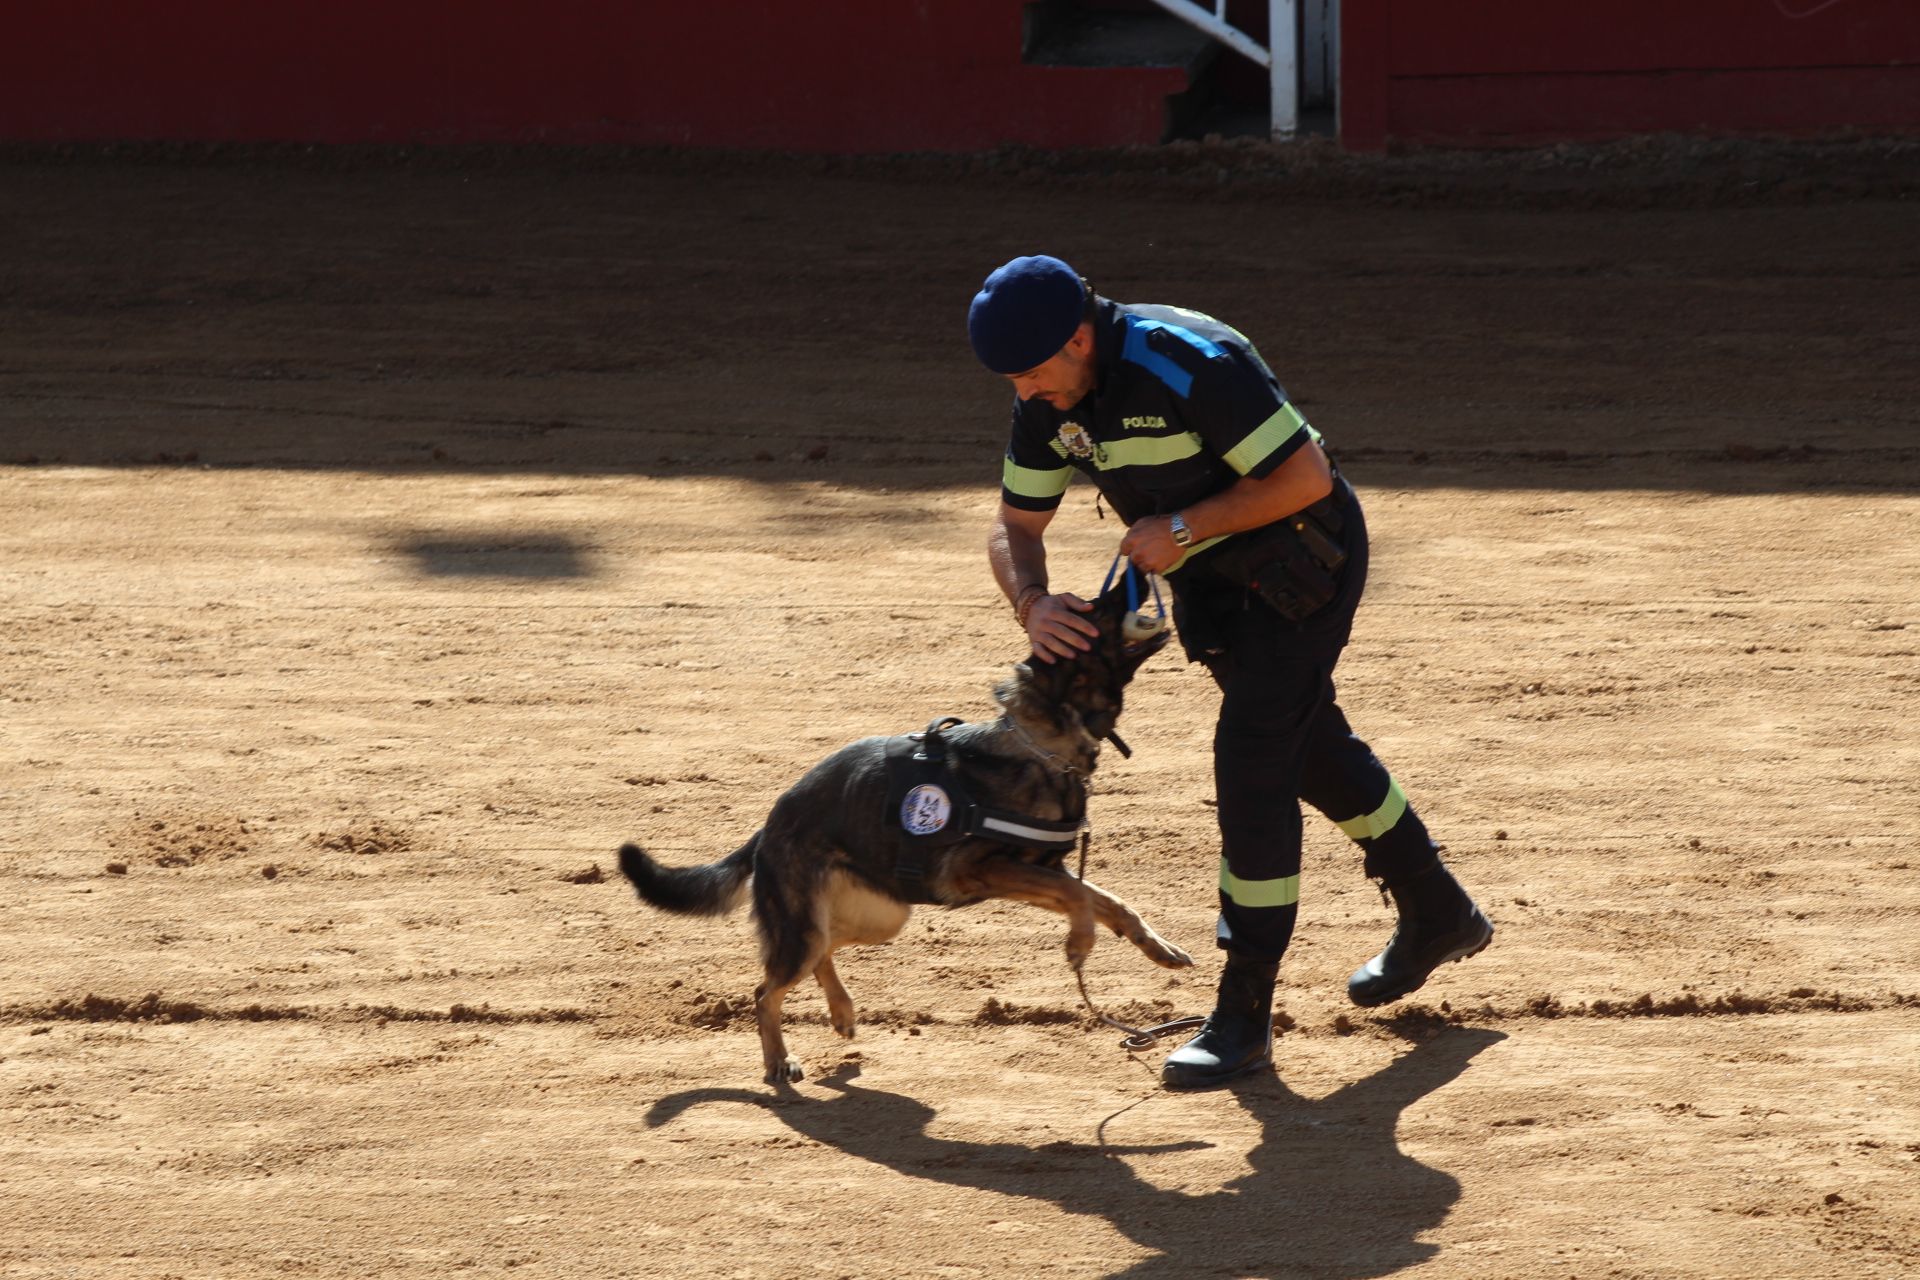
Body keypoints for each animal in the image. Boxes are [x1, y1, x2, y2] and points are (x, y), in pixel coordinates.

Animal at [618, 579, 1182, 1082]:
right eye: (1095, 608)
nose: (1141, 577)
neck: (1046, 743)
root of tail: (768, 827)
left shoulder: (1037, 871)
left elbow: (1108, 899)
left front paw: (1155, 945)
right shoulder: (982, 868)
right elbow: (1083, 898)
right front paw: (1080, 943)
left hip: (880, 917)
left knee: (824, 952)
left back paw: (842, 1012)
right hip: (810, 928)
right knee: (766, 991)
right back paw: (779, 1060)